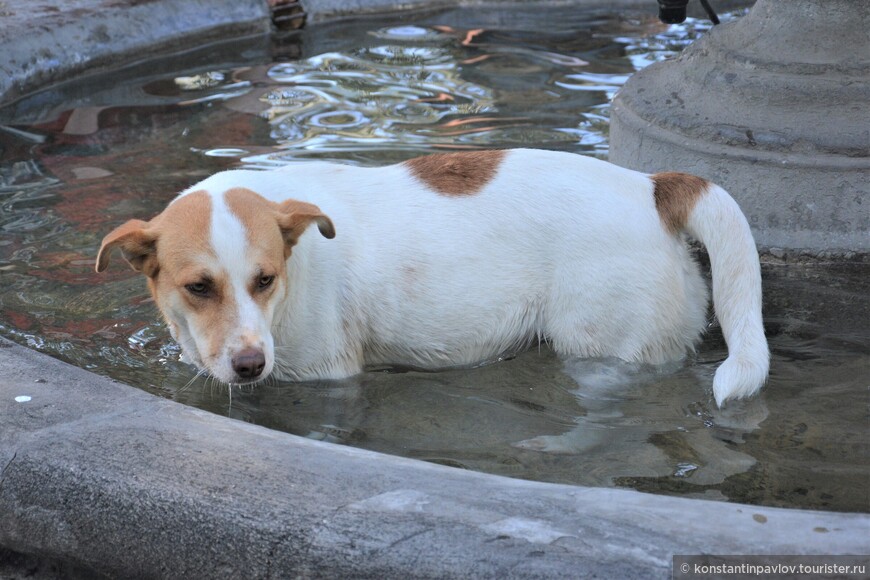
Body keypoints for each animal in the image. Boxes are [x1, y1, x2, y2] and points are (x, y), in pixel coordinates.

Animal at [97, 147, 768, 406]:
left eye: (265, 279)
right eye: (198, 287)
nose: (249, 365)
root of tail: (650, 187)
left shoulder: (325, 375)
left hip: (605, 351)